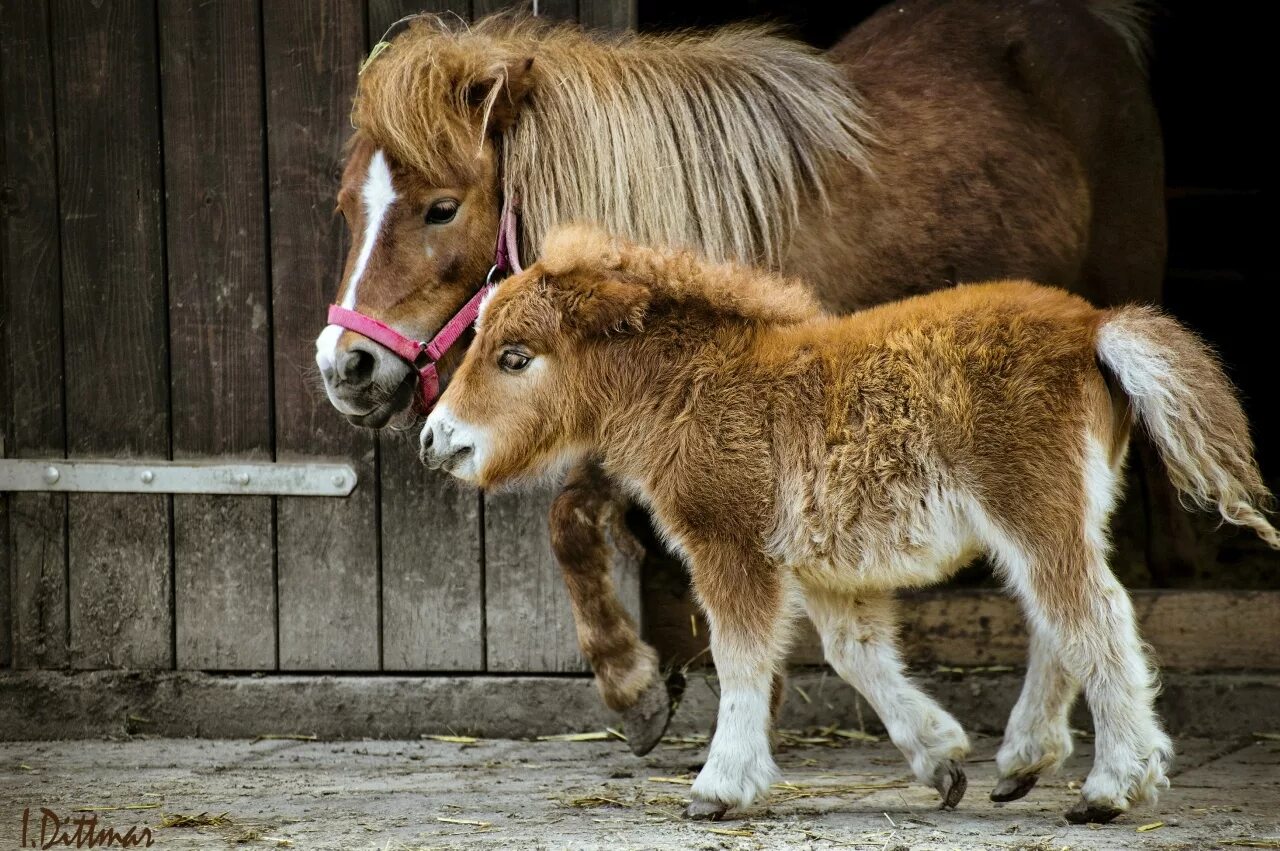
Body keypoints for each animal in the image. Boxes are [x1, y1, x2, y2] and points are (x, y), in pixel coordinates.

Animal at [309, 0, 1162, 778]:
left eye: (441, 208)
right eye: (347, 205)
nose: (344, 366)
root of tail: (1097, 21)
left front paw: (705, 705)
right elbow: (573, 522)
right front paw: (639, 687)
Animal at [422, 225, 1280, 824]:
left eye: (516, 356)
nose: (437, 440)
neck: (696, 386)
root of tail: (1092, 327)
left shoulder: (731, 546)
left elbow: (740, 659)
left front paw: (720, 785)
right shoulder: (821, 563)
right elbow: (855, 653)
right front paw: (940, 759)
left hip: (1033, 505)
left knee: (1092, 614)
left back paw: (1112, 786)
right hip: (1055, 513)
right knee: (1058, 620)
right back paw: (1022, 762)